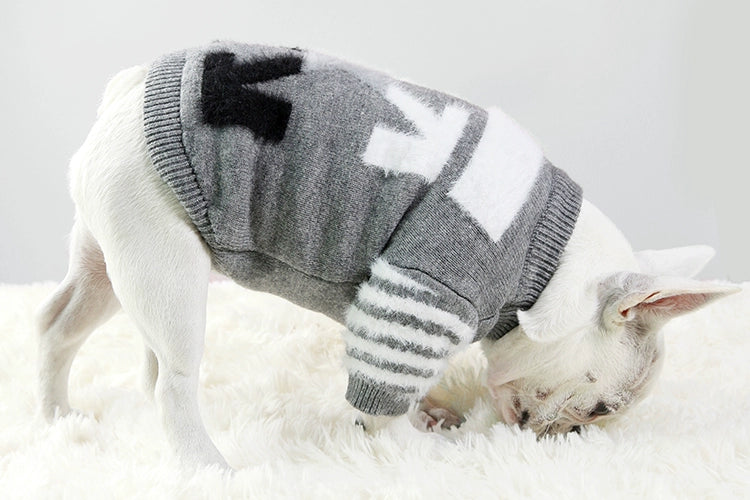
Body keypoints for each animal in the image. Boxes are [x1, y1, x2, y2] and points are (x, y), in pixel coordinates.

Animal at [36, 42, 738, 468]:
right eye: (600, 410)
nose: (570, 436)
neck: (550, 267)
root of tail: (128, 91)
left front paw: (432, 416)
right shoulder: (423, 293)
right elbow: (384, 399)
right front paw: (418, 449)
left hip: (112, 259)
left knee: (59, 327)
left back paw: (56, 418)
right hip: (162, 263)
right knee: (173, 381)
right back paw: (209, 467)